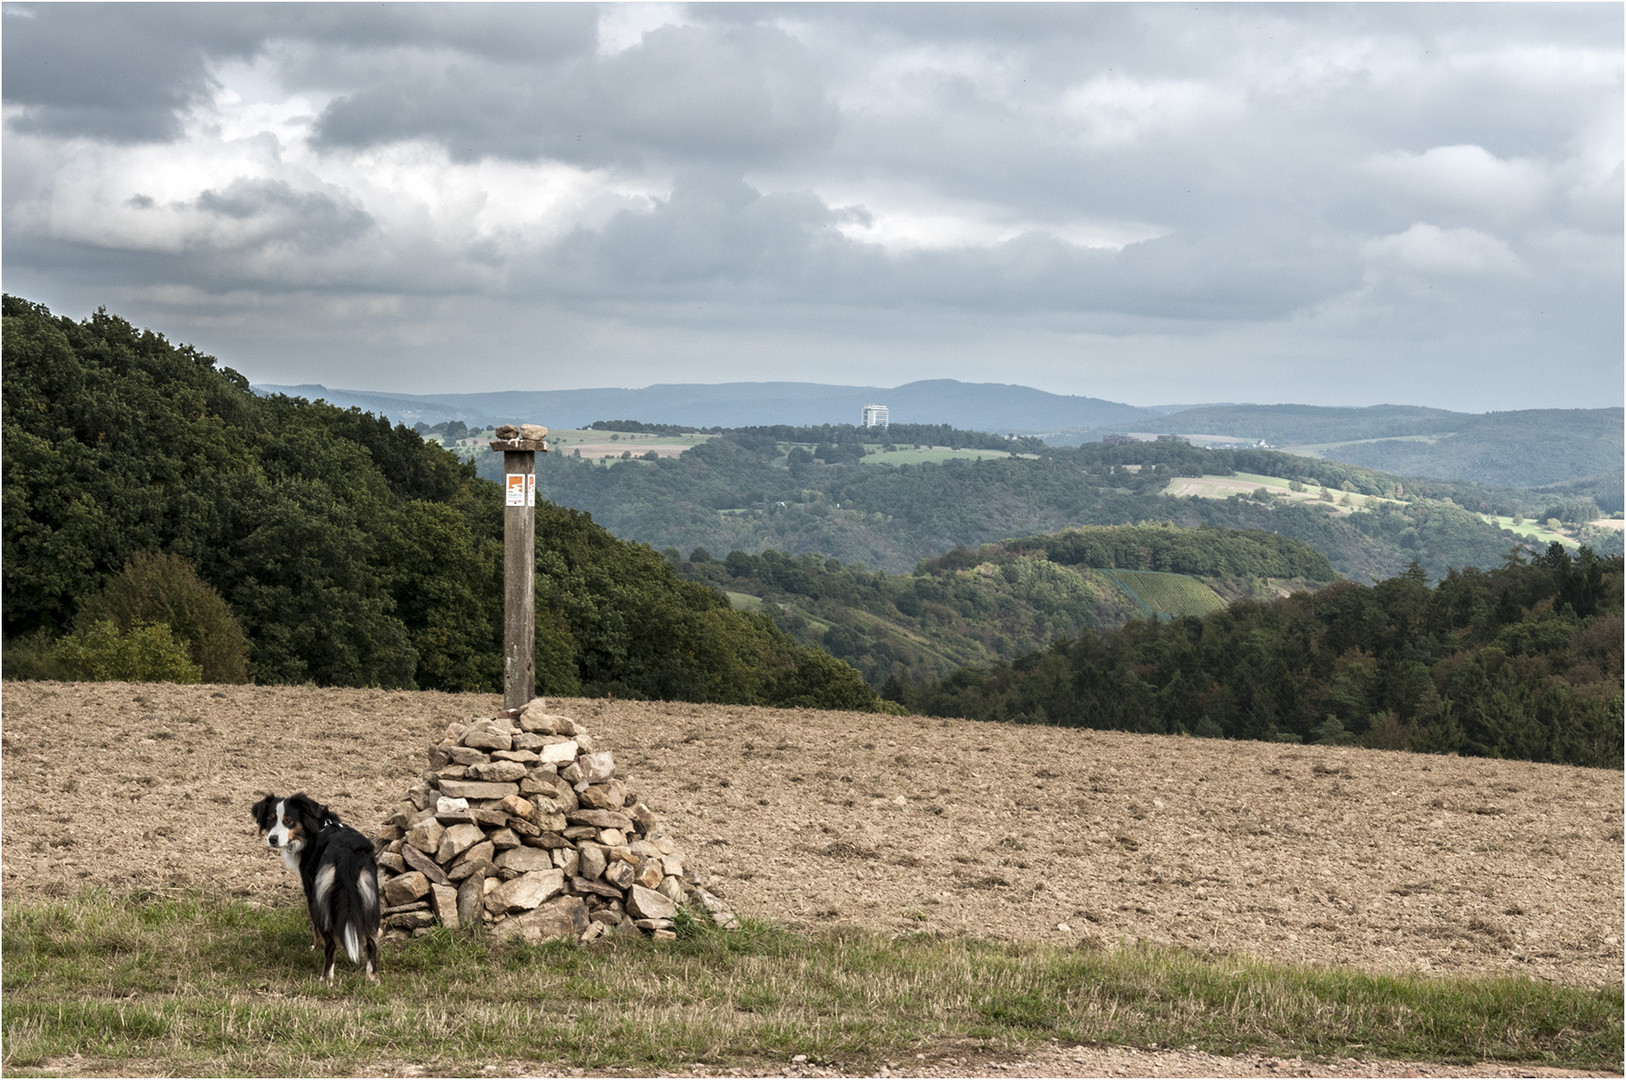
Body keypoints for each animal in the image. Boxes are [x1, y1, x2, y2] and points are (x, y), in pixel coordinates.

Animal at [248, 790, 382, 982]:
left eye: (289, 821)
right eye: (270, 819)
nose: (272, 839)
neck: (318, 826)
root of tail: (346, 853)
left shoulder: (311, 890)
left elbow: (315, 926)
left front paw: (316, 947)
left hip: (323, 897)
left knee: (331, 944)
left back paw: (326, 978)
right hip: (371, 899)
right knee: (372, 942)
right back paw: (372, 977)